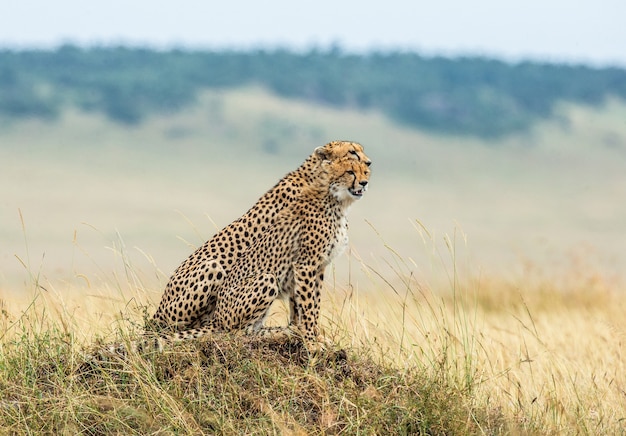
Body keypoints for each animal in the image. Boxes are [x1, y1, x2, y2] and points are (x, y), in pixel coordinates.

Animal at [150, 141, 370, 332]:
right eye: (352, 152)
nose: (369, 164)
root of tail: (157, 313)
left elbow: (302, 303)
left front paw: (301, 330)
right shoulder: (301, 258)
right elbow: (302, 301)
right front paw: (305, 332)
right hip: (213, 268)